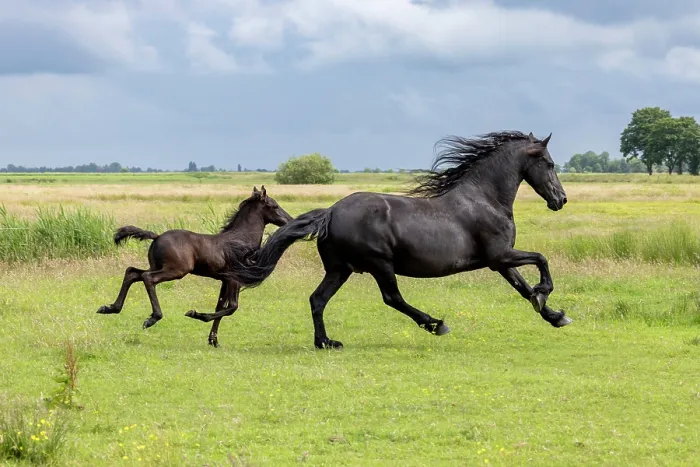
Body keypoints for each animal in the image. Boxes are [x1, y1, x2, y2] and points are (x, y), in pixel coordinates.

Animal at [96, 186, 293, 347]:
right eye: (274, 206)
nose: (289, 220)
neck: (241, 240)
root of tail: (157, 236)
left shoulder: (224, 280)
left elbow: (220, 306)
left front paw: (213, 341)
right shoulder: (234, 279)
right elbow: (232, 307)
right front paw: (195, 314)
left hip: (156, 266)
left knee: (132, 273)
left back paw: (110, 308)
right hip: (176, 270)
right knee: (147, 278)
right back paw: (152, 318)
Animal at [226, 131, 572, 349]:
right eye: (550, 164)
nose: (561, 200)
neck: (485, 199)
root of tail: (331, 212)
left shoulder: (499, 261)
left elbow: (522, 288)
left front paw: (555, 316)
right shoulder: (499, 256)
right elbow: (541, 260)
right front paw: (545, 293)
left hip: (340, 269)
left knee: (317, 299)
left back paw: (325, 342)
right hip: (380, 264)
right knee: (392, 298)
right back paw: (435, 323)